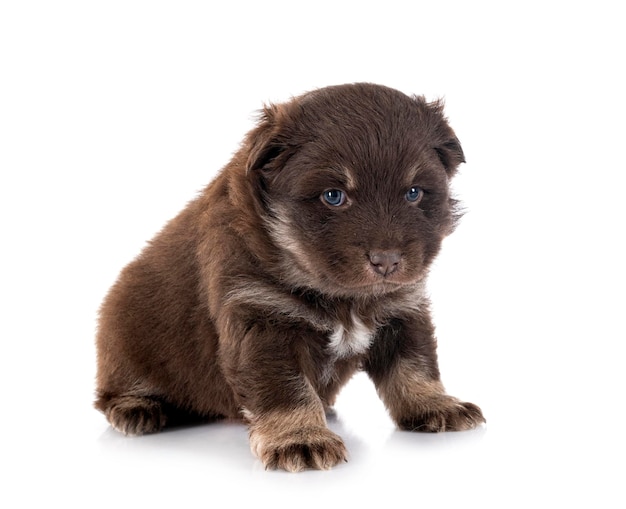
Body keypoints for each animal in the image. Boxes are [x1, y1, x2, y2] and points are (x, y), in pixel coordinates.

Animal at [94, 82, 482, 468]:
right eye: (333, 196)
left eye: (414, 192)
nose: (386, 261)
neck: (340, 294)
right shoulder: (262, 319)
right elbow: (285, 389)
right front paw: (300, 438)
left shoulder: (402, 309)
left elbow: (415, 365)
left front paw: (437, 404)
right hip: (122, 335)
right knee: (115, 389)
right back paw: (136, 408)